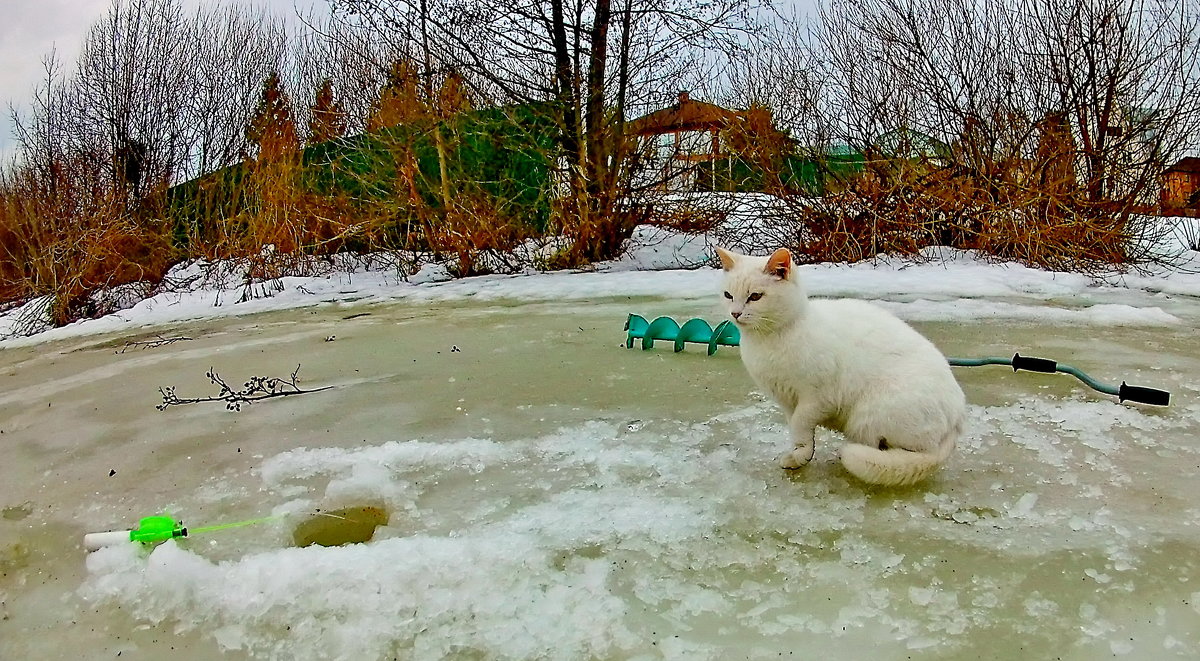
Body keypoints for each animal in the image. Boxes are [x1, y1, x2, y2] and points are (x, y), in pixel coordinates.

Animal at [720, 248, 964, 487]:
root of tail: (956, 419)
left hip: (869, 415)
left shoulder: (817, 399)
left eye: (755, 296)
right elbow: (798, 431)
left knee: (913, 452)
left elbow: (800, 423)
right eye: (728, 295)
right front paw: (800, 453)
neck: (768, 340)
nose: (735, 313)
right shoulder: (787, 401)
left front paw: (801, 456)